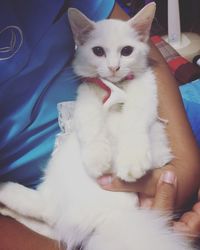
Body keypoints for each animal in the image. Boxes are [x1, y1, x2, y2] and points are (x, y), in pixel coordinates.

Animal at [0, 3, 195, 250]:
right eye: (98, 51)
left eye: (127, 51)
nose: (113, 67)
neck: (116, 87)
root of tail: (109, 221)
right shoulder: (87, 97)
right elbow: (92, 125)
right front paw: (98, 159)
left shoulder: (145, 96)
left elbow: (134, 126)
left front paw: (132, 162)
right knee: (48, 213)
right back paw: (7, 192)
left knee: (48, 214)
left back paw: (6, 194)